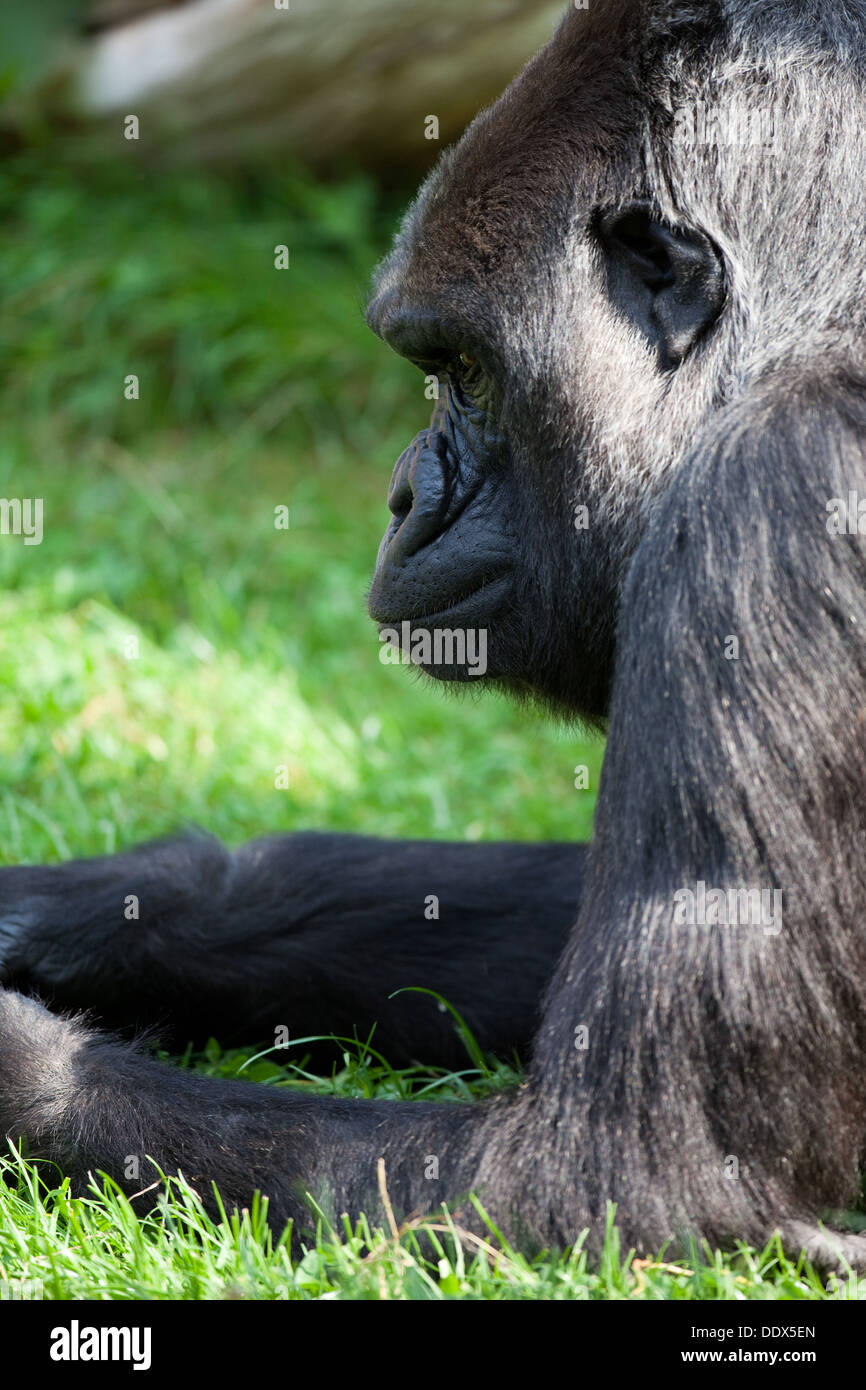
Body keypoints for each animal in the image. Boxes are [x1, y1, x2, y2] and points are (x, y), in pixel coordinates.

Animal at [1, 0, 866, 1273]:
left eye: (462, 370)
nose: (401, 498)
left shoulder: (772, 499)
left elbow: (615, 1178)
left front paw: (20, 1064)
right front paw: (95, 905)